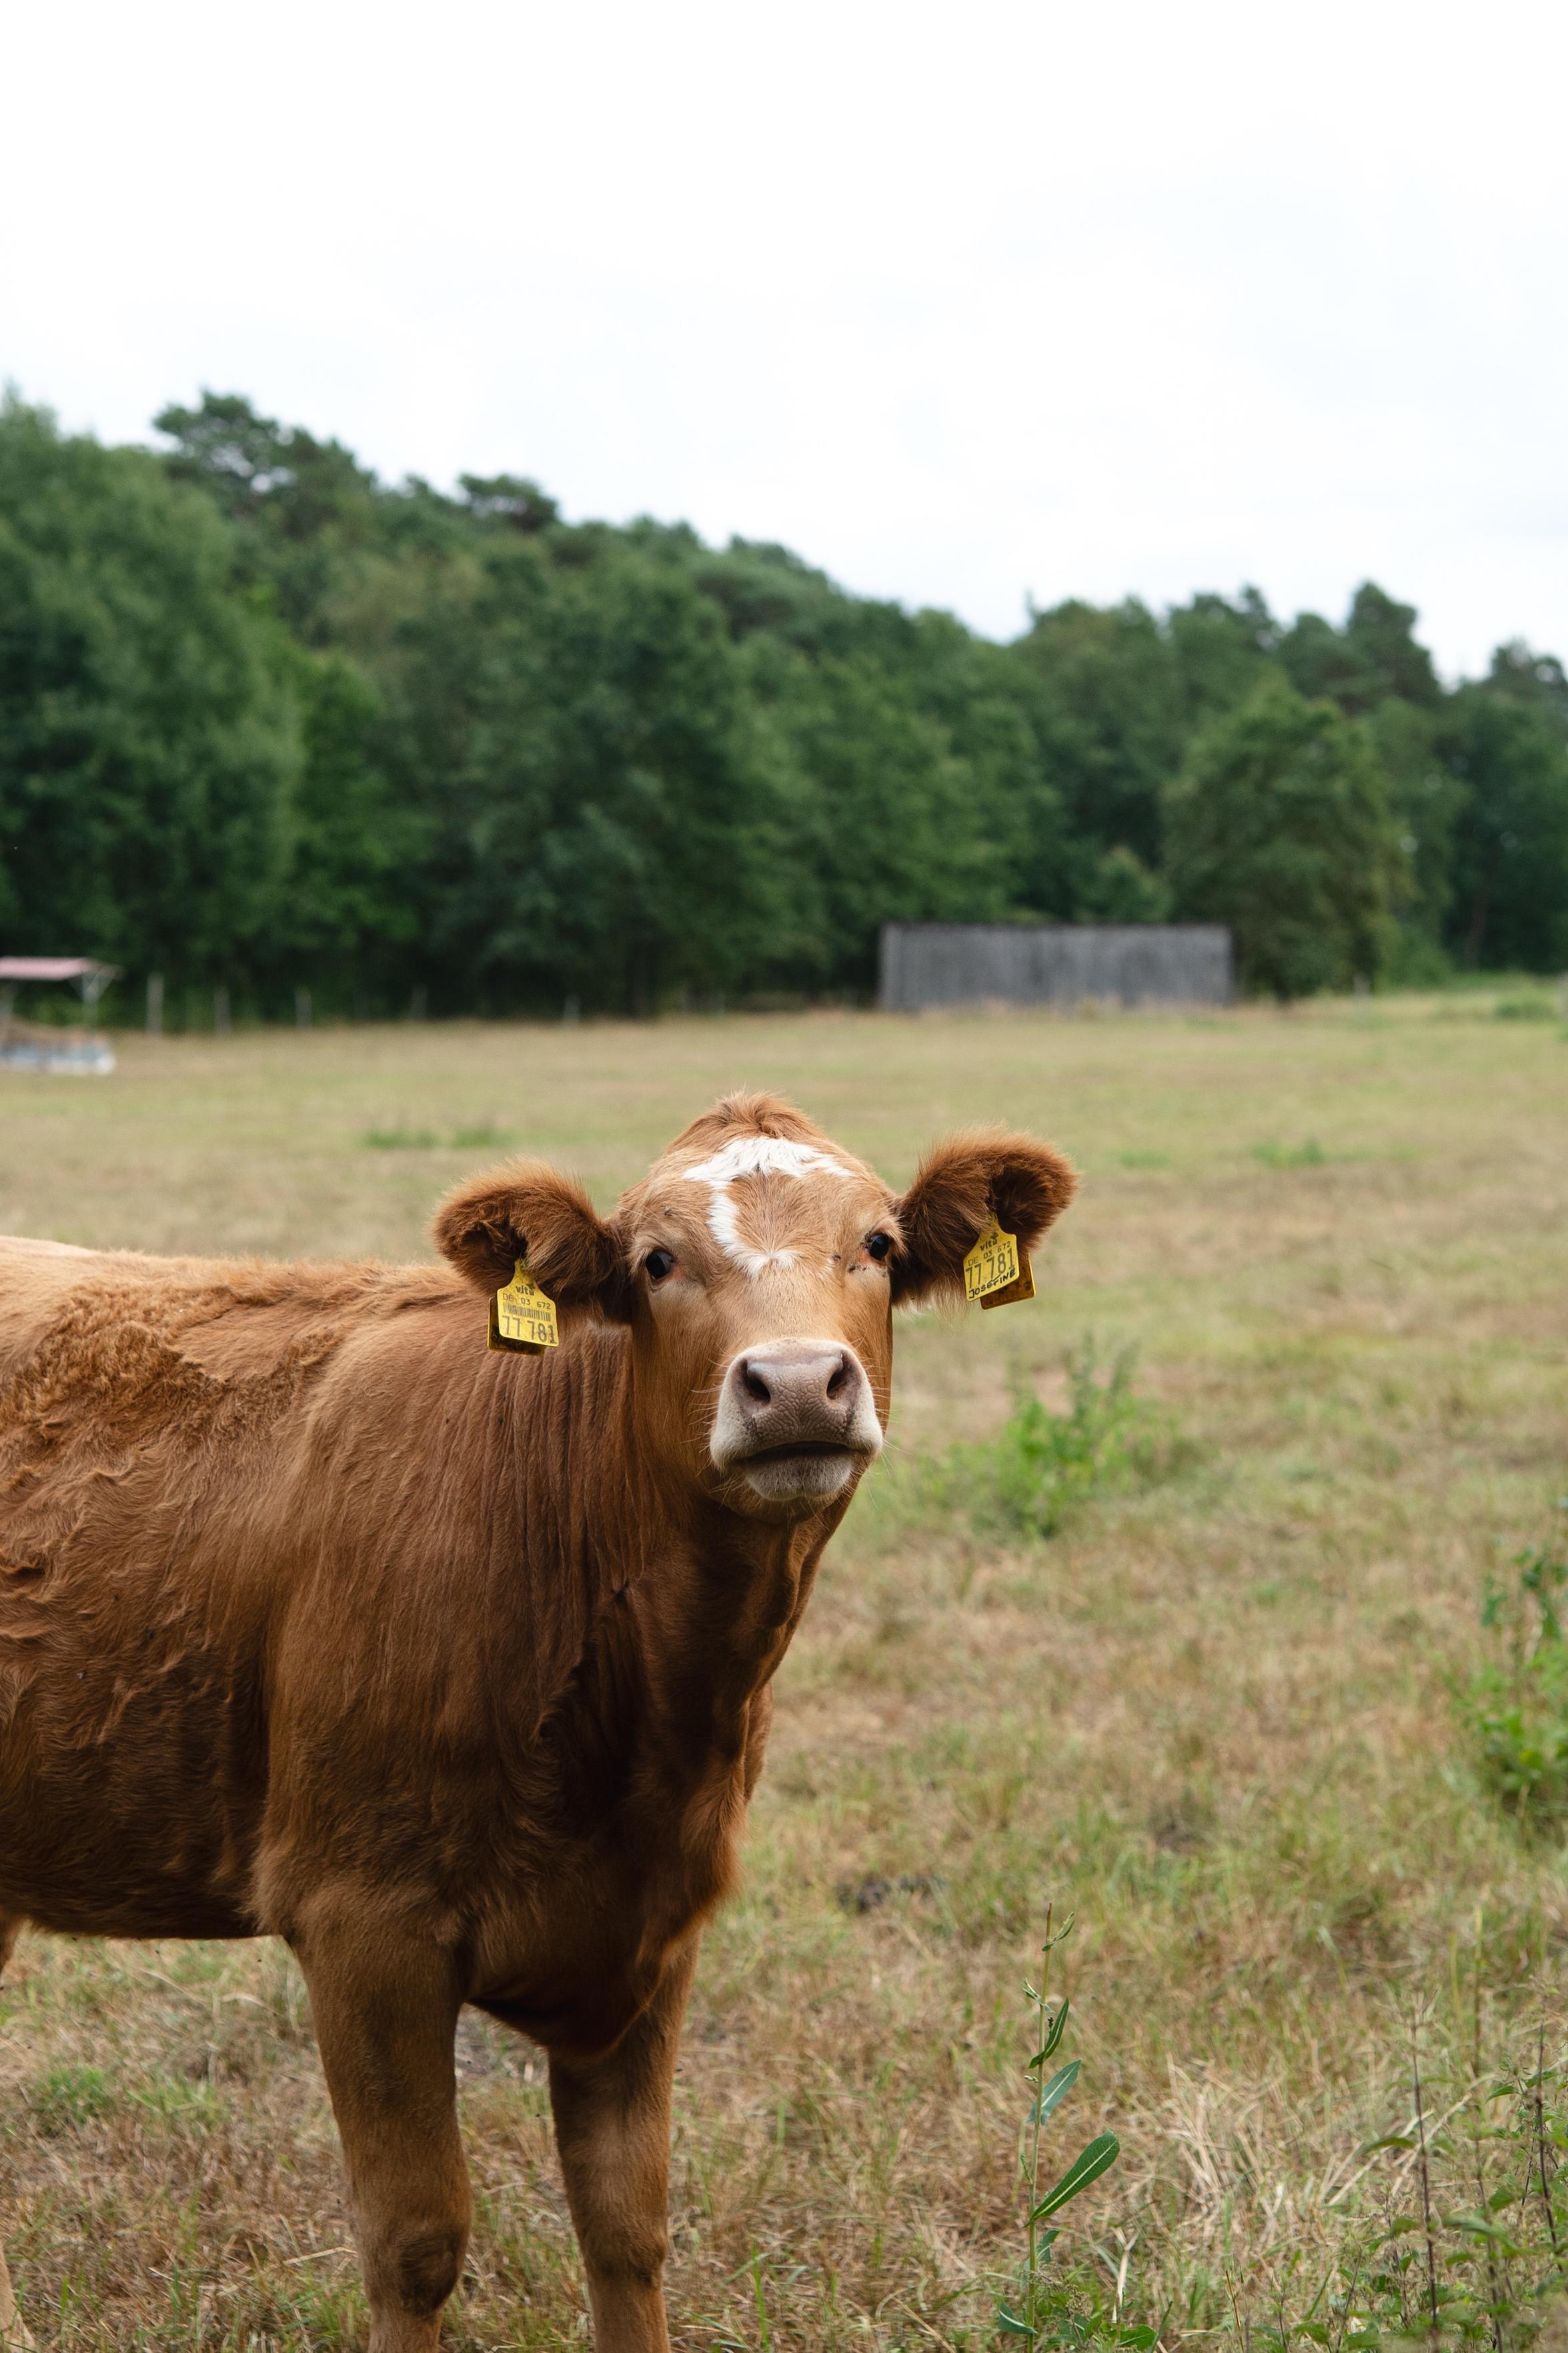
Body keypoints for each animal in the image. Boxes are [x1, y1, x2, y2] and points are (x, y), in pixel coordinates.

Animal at [0, 1091, 1074, 2352]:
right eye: (655, 1260)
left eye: (878, 1244)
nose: (800, 1383)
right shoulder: (362, 1917)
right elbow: (415, 2239)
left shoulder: (655, 1927)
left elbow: (626, 2224)